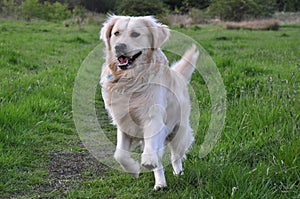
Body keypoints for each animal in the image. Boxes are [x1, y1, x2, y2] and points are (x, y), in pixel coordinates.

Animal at [101, 15, 199, 190]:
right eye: (116, 33)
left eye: (135, 34)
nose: (119, 46)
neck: (131, 80)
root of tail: (178, 75)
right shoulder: (124, 123)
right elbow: (119, 154)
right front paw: (133, 170)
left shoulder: (153, 119)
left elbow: (151, 153)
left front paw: (147, 162)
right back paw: (160, 183)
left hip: (179, 130)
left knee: (176, 156)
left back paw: (178, 174)